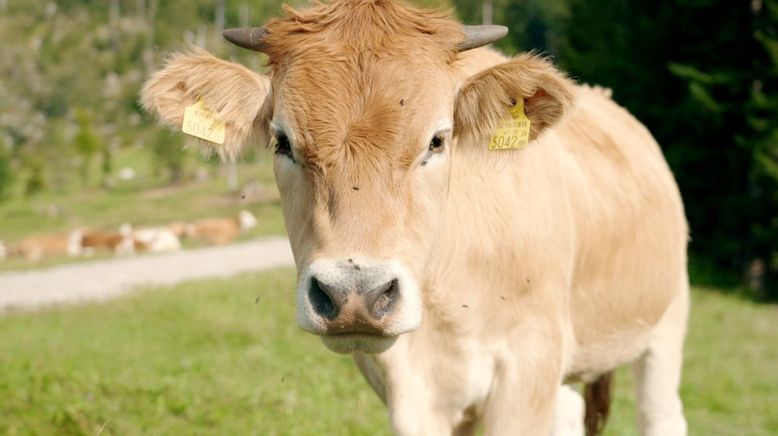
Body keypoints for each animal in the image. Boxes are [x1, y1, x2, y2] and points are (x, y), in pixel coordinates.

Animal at [139, 1, 684, 434]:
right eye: (282, 141)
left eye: (438, 140)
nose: (354, 295)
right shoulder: (409, 392)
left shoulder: (529, 365)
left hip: (665, 322)